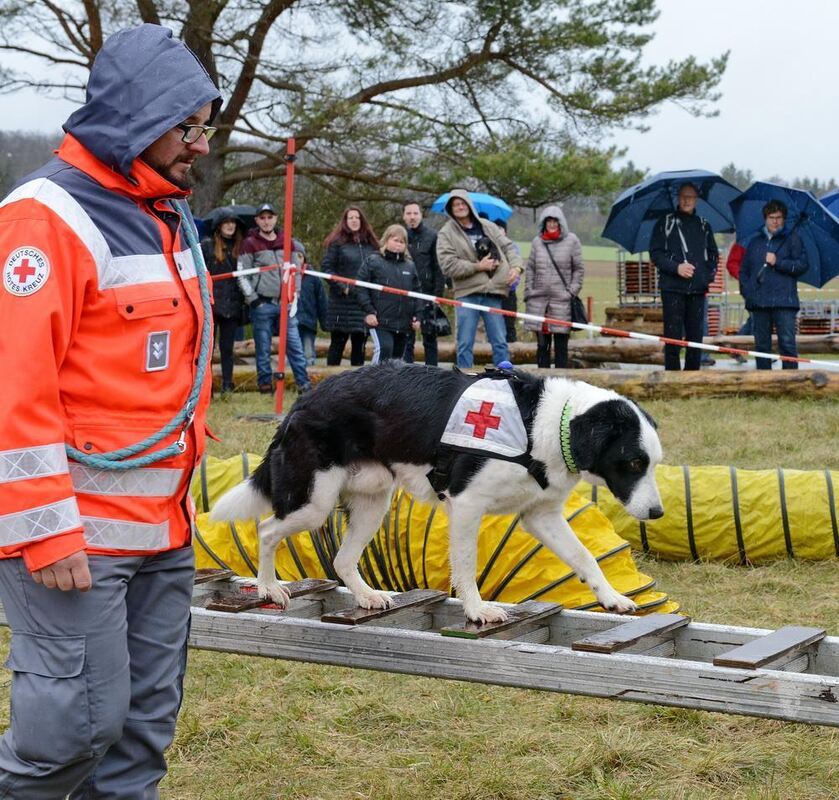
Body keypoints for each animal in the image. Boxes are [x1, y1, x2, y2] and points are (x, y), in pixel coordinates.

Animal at [210, 362, 664, 624]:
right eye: (633, 463)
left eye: (654, 463)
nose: (658, 513)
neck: (546, 423)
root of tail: (302, 402)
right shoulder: (466, 506)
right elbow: (465, 565)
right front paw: (476, 609)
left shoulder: (542, 516)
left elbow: (585, 557)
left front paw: (612, 598)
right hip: (313, 502)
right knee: (267, 529)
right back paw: (268, 587)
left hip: (373, 503)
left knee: (340, 559)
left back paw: (366, 595)